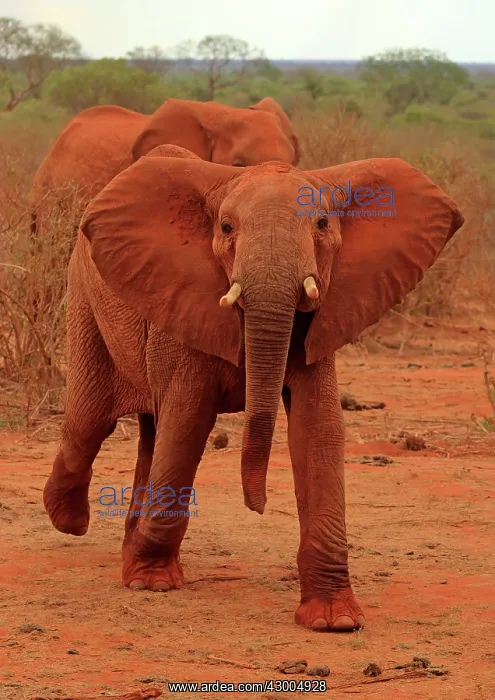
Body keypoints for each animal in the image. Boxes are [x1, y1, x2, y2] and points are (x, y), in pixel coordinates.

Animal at [43, 146, 463, 631]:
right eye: (226, 228)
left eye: (322, 224)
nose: (257, 506)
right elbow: (187, 422)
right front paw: (153, 584)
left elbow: (317, 428)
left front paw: (335, 620)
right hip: (85, 300)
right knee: (90, 423)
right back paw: (71, 522)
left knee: (147, 431)